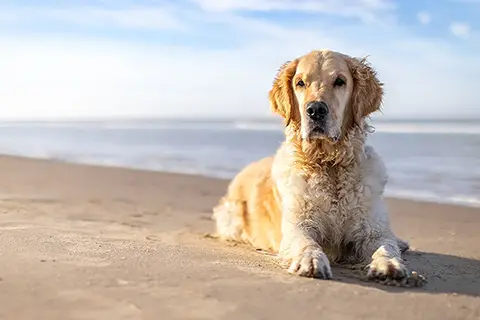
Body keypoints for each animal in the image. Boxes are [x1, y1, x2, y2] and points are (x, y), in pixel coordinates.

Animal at [213, 48, 408, 282]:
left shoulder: (371, 228)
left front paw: (388, 264)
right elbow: (306, 242)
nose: (315, 110)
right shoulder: (297, 224)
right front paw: (311, 260)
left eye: (340, 81)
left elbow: (385, 244)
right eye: (300, 83)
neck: (330, 165)